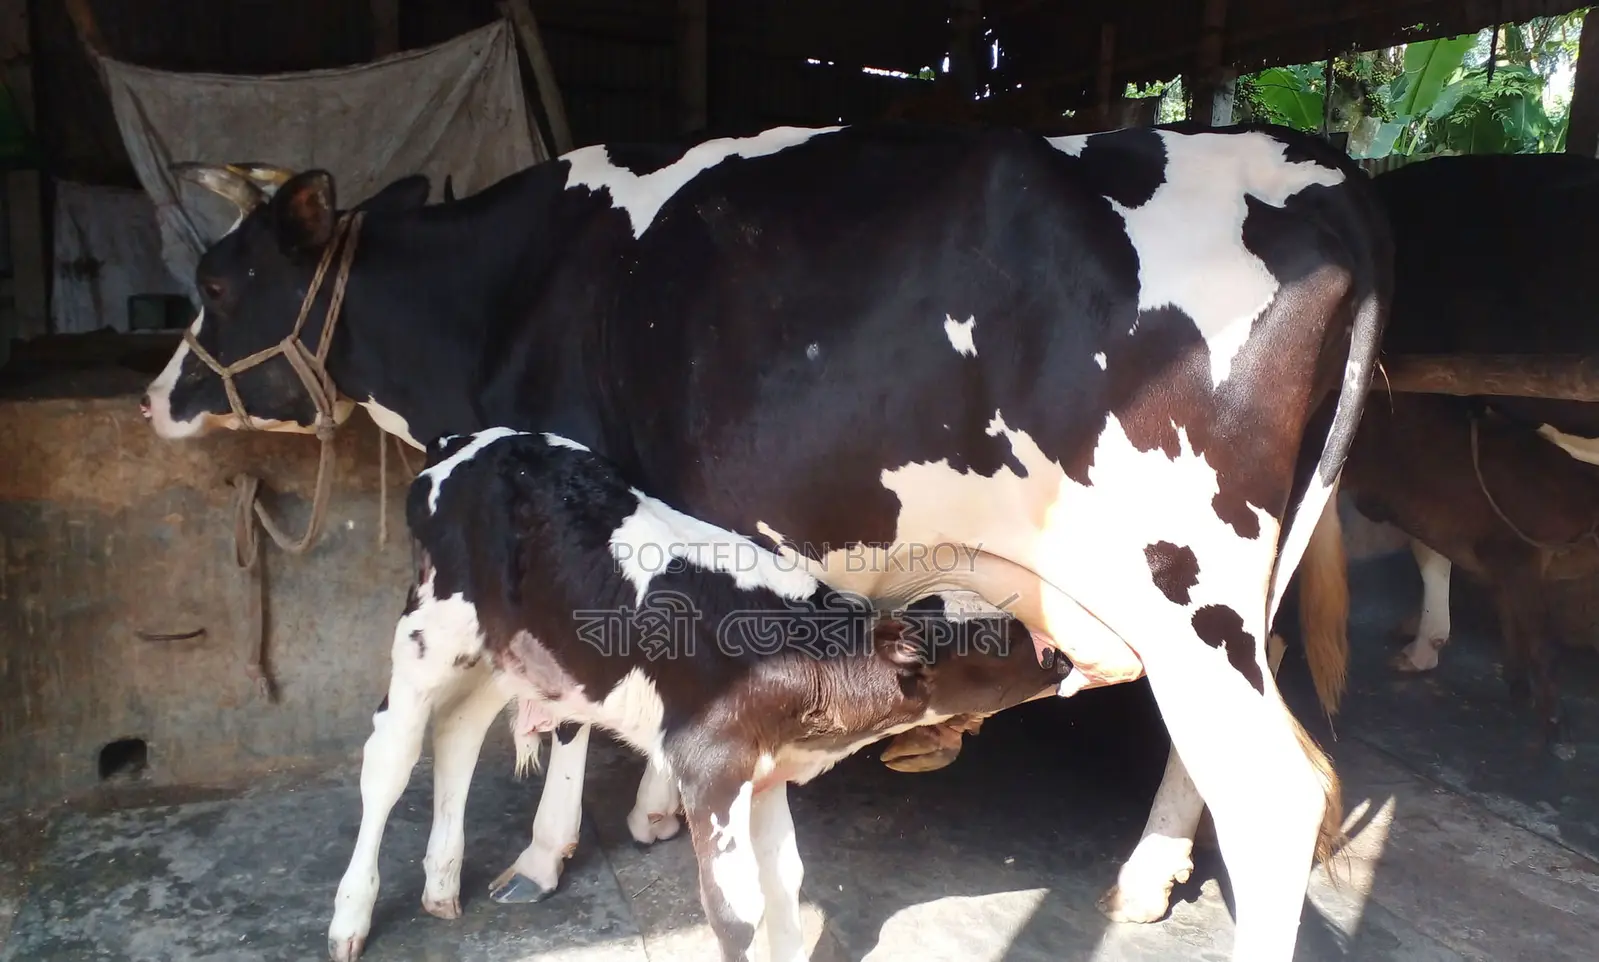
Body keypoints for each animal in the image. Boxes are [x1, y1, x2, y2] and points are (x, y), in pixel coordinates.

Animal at [326, 427, 1072, 961]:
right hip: (426, 631)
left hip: (504, 651)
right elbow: (737, 913)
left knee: (457, 731)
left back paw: (441, 886)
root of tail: (465, 440)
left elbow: (785, 885)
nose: (1063, 656)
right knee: (389, 757)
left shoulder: (765, 774)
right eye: (1002, 638)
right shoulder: (709, 767)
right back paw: (351, 917)